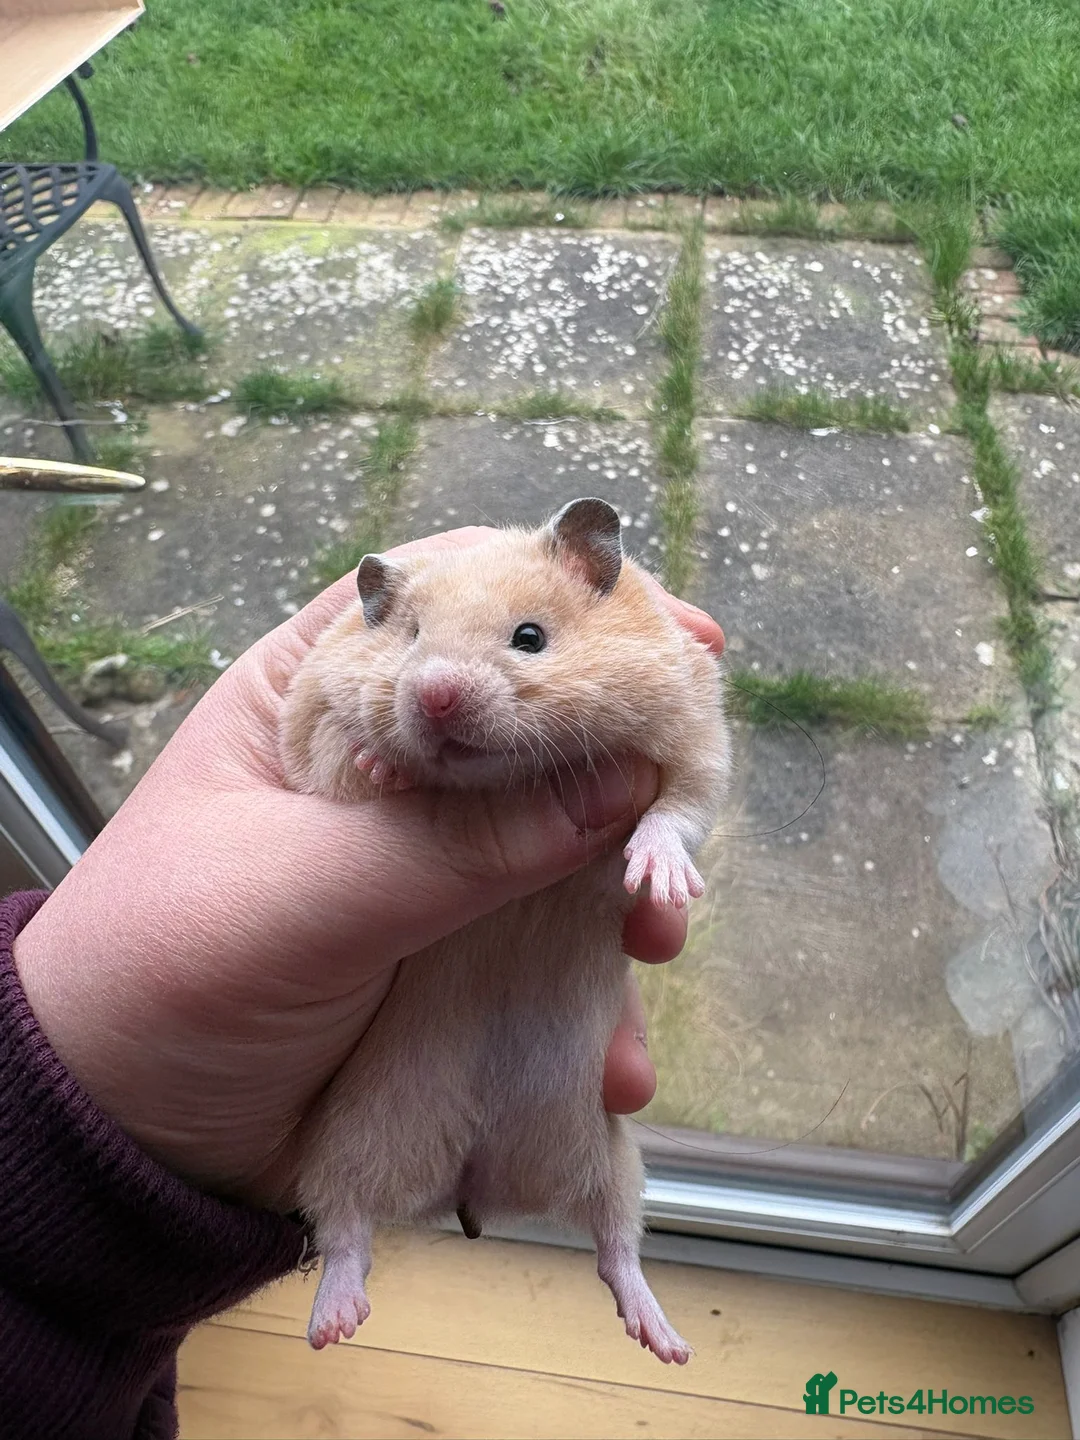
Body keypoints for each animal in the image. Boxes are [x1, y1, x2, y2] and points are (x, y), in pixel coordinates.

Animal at [279, 497, 730, 1364]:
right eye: (411, 638)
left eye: (530, 636)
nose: (434, 697)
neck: (504, 777)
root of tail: (475, 1182)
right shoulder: (312, 738)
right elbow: (344, 766)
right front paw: (386, 766)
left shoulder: (695, 737)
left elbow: (677, 811)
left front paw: (659, 885)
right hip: (350, 1136)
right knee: (347, 1228)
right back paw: (332, 1324)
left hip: (611, 1154)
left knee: (616, 1246)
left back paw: (666, 1341)